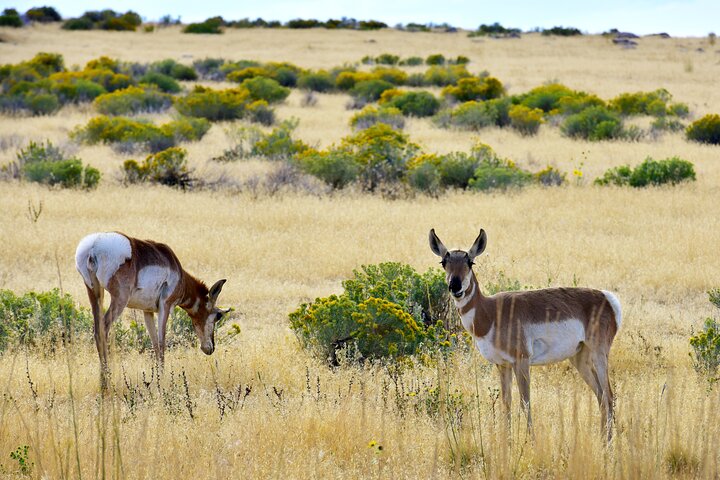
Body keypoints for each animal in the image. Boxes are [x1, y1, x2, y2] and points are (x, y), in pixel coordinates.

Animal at [75, 232, 229, 378]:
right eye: (218, 316)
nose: (210, 348)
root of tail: (93, 246)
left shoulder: (147, 311)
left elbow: (154, 343)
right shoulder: (165, 306)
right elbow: (161, 343)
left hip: (94, 293)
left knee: (96, 329)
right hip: (119, 300)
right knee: (103, 328)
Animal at [429, 228, 621, 441]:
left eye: (470, 262)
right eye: (443, 262)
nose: (455, 287)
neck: (491, 312)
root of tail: (606, 297)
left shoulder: (521, 361)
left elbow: (525, 402)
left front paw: (531, 442)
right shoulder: (502, 365)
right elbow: (507, 404)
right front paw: (507, 442)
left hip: (599, 354)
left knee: (608, 395)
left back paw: (608, 442)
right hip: (579, 358)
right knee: (600, 396)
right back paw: (602, 440)